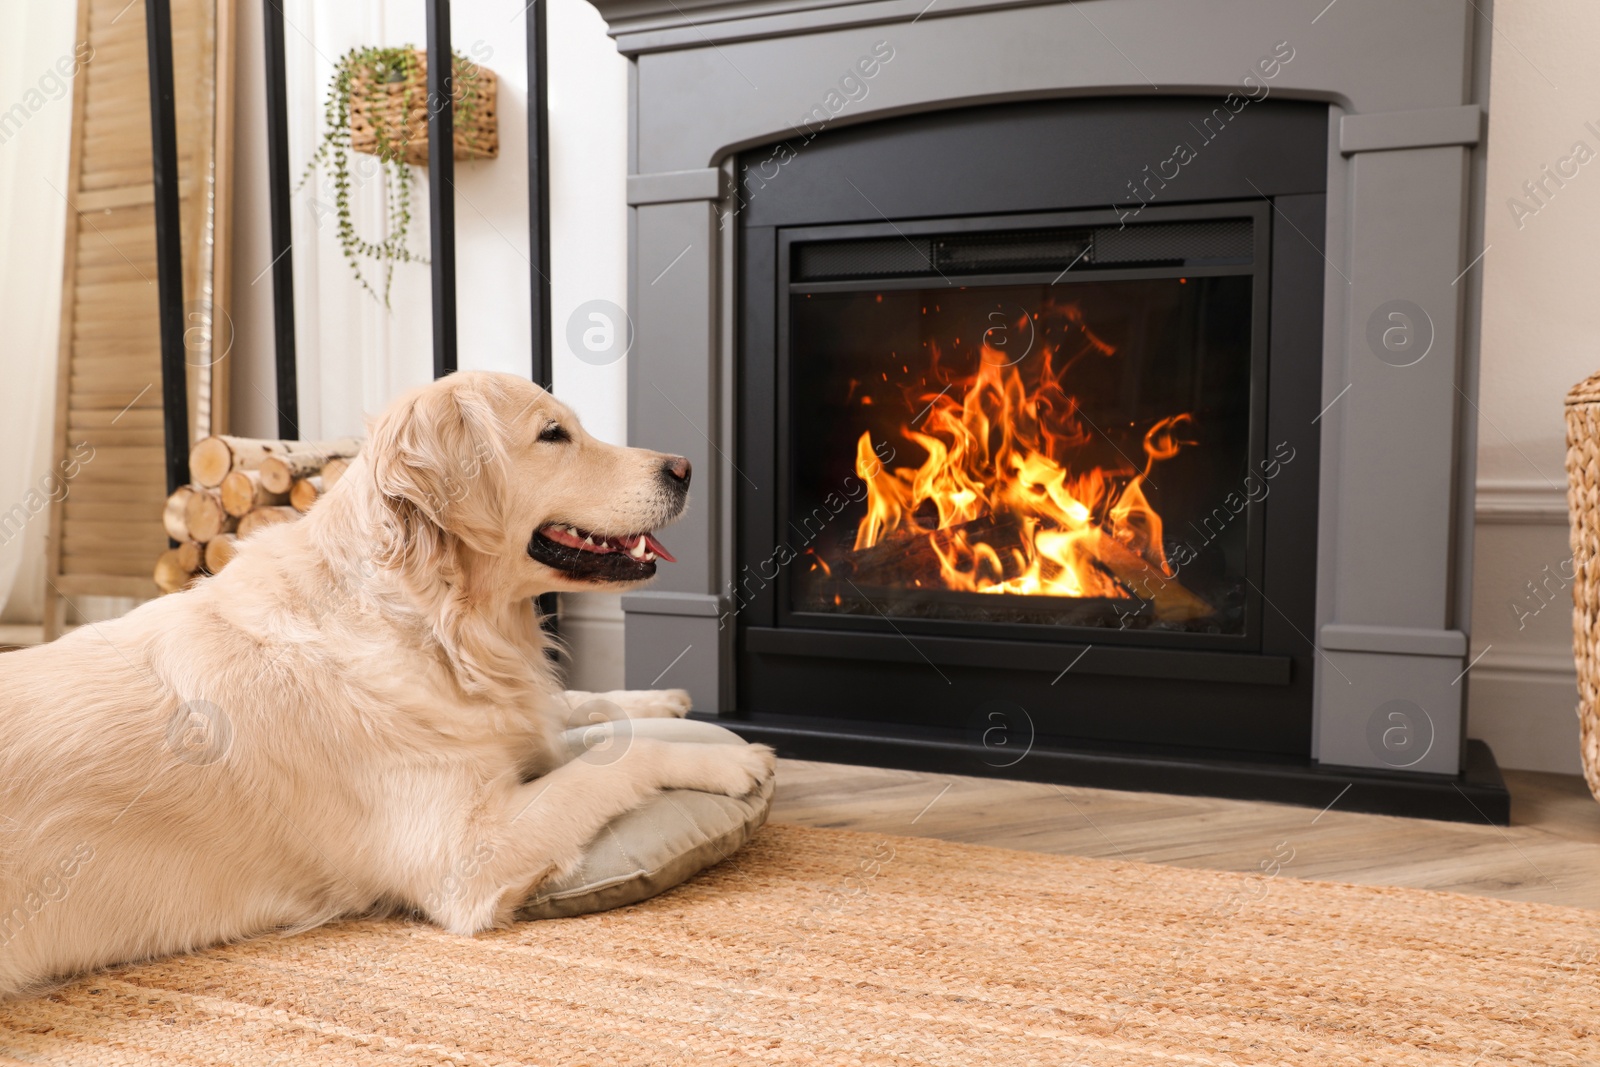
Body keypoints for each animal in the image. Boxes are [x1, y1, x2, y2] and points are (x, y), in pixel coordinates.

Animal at [0, 369, 774, 1004]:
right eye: (553, 434)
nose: (685, 467)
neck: (437, 624)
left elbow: (580, 714)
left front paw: (664, 702)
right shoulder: (466, 856)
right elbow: (612, 762)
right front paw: (732, 759)